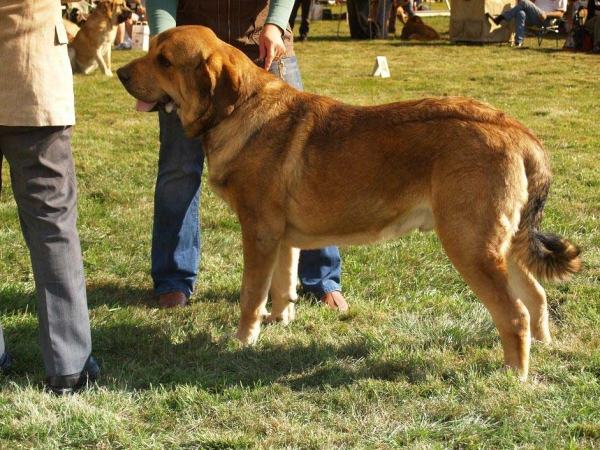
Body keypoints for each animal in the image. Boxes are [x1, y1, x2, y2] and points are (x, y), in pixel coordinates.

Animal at [117, 25, 580, 380]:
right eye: (151, 49)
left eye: (164, 61)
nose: (119, 72)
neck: (237, 109)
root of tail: (516, 129)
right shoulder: (282, 237)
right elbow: (282, 286)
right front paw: (279, 322)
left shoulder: (259, 232)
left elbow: (251, 294)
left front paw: (243, 341)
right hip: (503, 243)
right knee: (537, 297)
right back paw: (544, 350)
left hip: (471, 245)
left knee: (514, 314)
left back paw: (513, 376)